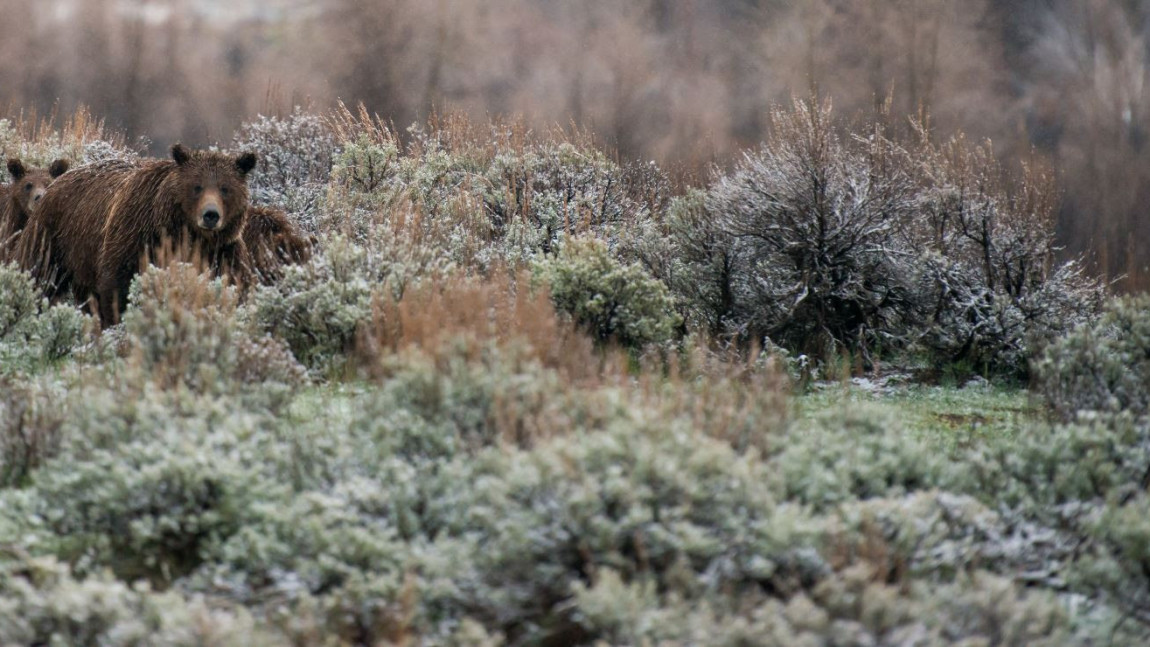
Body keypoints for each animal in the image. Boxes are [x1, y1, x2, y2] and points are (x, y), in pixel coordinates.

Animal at [18, 144, 257, 327]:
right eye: (197, 186)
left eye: (225, 188)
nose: (210, 215)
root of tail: (57, 181)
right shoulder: (135, 236)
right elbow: (117, 286)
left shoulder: (222, 251)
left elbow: (233, 285)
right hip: (53, 236)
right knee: (39, 273)